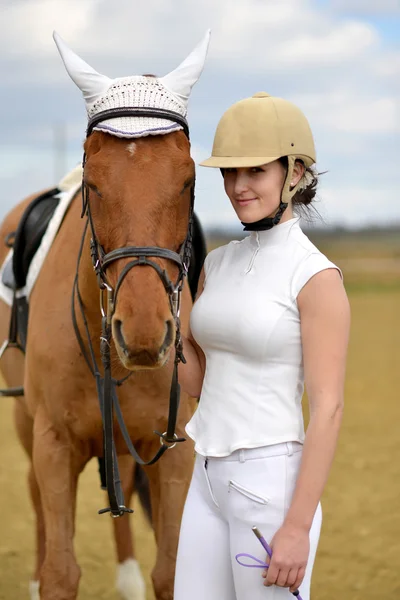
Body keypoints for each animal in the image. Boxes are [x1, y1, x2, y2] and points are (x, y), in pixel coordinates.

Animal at [0, 29, 211, 600]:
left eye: (188, 180)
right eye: (93, 183)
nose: (142, 333)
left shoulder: (174, 448)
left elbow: (171, 569)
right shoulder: (53, 443)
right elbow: (60, 572)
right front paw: (45, 578)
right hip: (27, 420)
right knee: (33, 495)